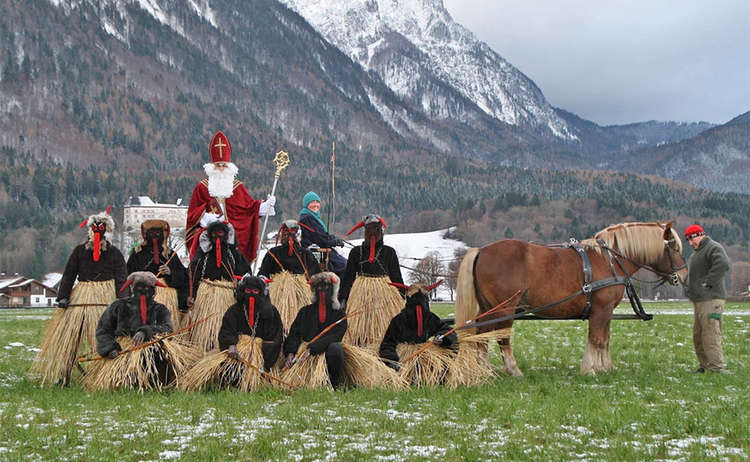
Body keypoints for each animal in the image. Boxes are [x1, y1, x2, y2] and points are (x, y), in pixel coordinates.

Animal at [456, 220, 692, 376]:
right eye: (673, 246)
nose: (683, 275)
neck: (609, 260)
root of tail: (482, 250)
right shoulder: (601, 309)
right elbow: (596, 338)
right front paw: (590, 369)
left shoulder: (607, 312)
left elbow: (605, 339)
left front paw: (606, 367)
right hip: (505, 308)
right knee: (501, 337)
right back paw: (513, 370)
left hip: (488, 307)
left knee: (481, 334)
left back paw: (484, 369)